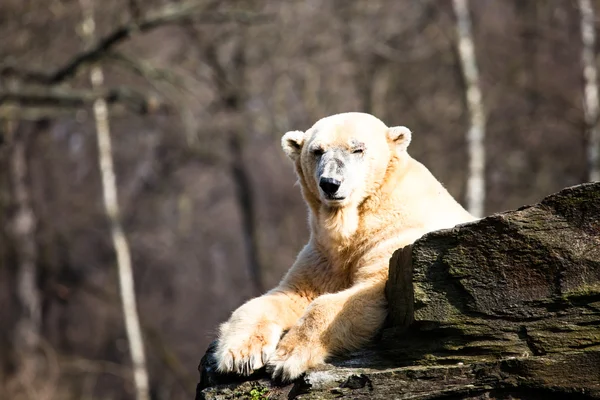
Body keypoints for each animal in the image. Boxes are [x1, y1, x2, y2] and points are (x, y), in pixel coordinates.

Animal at [213, 112, 476, 382]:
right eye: (317, 151)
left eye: (357, 149)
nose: (330, 183)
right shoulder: (322, 254)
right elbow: (286, 296)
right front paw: (240, 355)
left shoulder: (395, 238)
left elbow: (356, 294)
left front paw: (285, 359)